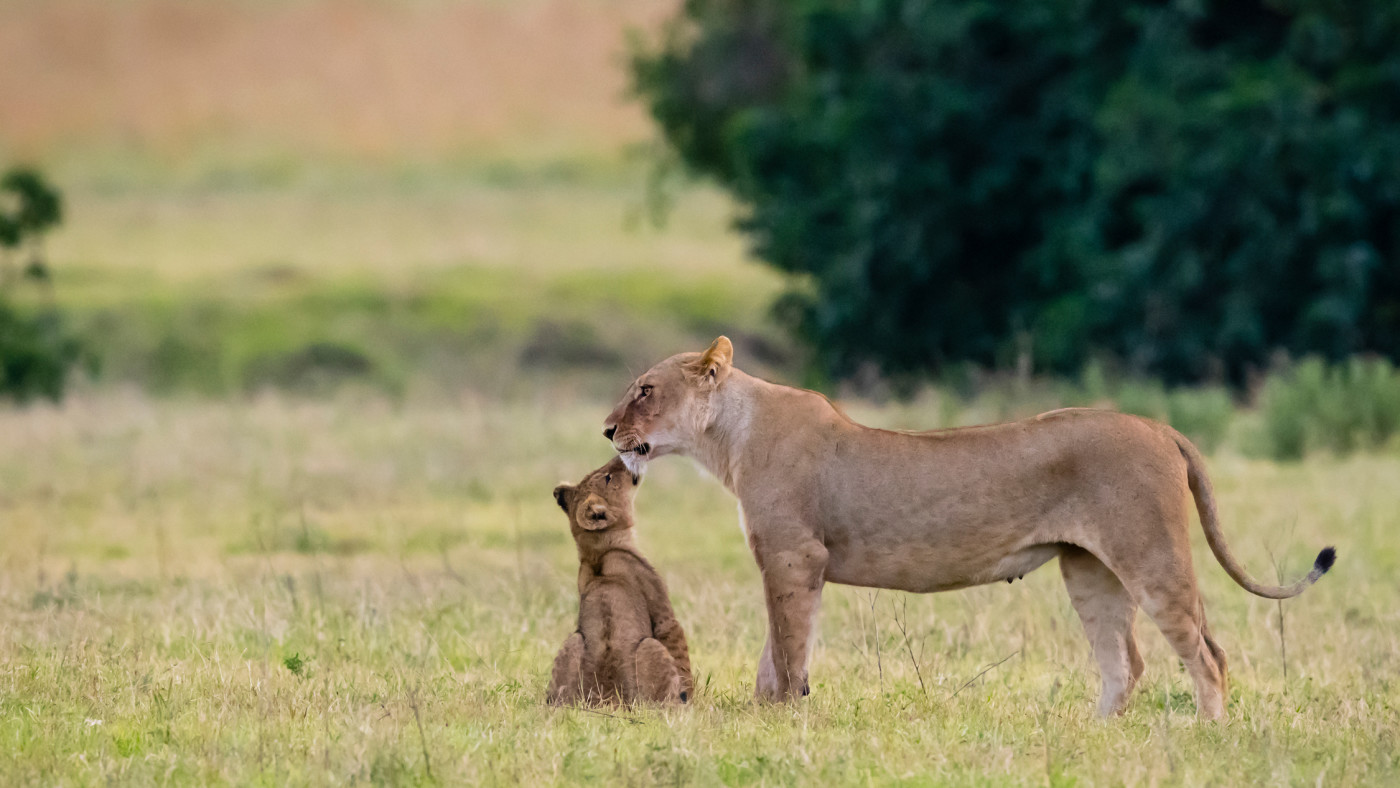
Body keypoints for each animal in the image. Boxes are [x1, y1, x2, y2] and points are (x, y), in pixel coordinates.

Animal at [547, 455, 694, 706]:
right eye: (607, 477)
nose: (621, 457)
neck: (597, 552)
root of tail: (608, 698)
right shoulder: (664, 614)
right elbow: (681, 654)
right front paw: (695, 702)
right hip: (650, 646)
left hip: (573, 642)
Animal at [601, 336, 1335, 720]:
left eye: (644, 390)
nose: (607, 430)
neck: (728, 439)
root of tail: (1159, 425)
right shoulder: (791, 563)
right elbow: (775, 651)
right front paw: (769, 715)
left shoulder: (794, 556)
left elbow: (785, 649)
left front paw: (782, 718)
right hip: (1090, 570)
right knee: (1126, 660)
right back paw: (1095, 735)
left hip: (1149, 555)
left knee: (1205, 653)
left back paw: (1207, 732)